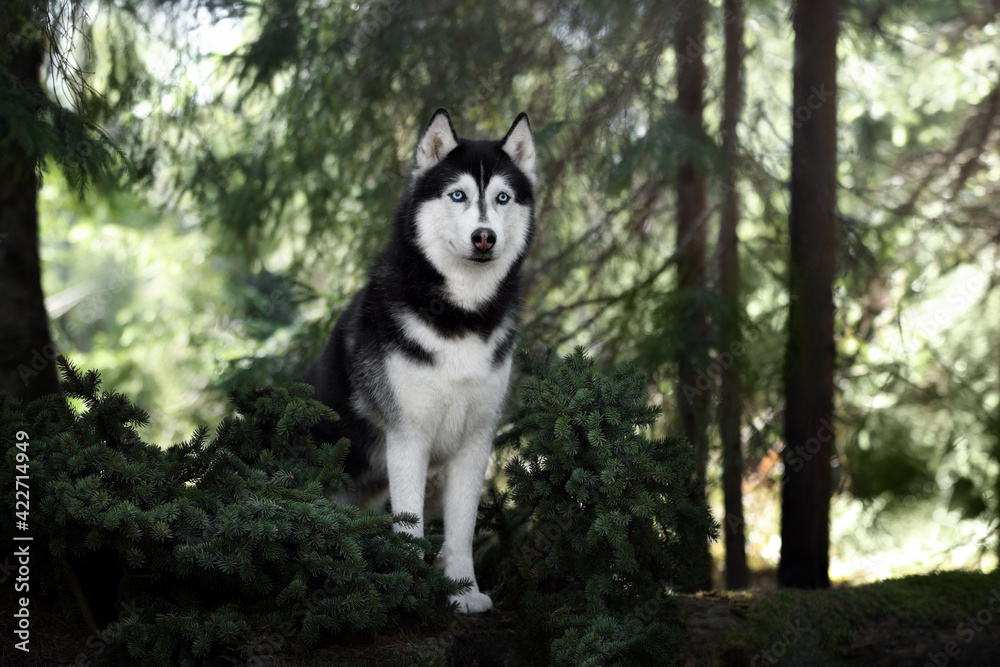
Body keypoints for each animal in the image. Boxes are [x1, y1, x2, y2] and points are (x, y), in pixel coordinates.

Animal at [298, 109, 536, 616]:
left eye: (502, 197)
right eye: (458, 195)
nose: (484, 237)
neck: (462, 315)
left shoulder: (475, 442)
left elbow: (460, 532)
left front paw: (464, 593)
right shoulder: (408, 436)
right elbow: (409, 529)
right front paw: (410, 594)